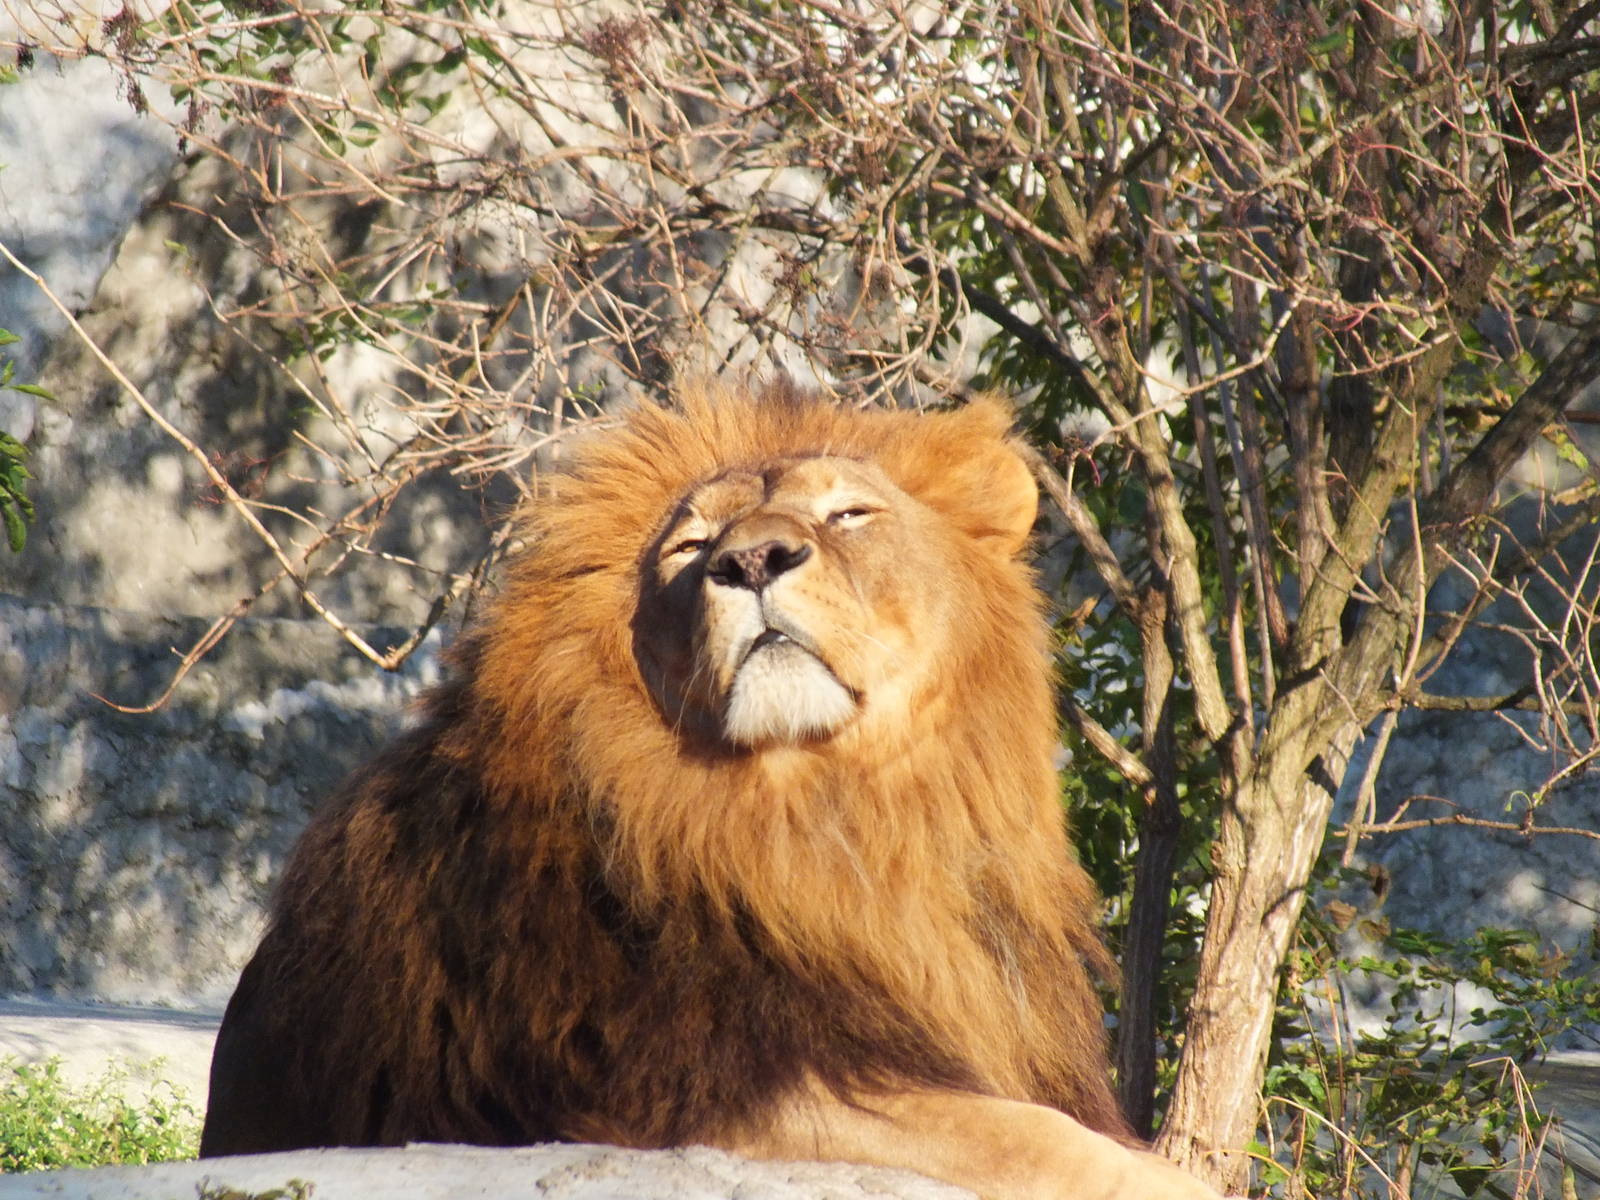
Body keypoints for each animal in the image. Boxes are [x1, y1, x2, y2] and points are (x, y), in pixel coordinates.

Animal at [200, 380, 1220, 1199]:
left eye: (850, 515)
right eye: (691, 546)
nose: (753, 560)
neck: (830, 822)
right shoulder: (720, 1097)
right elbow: (1037, 1142)